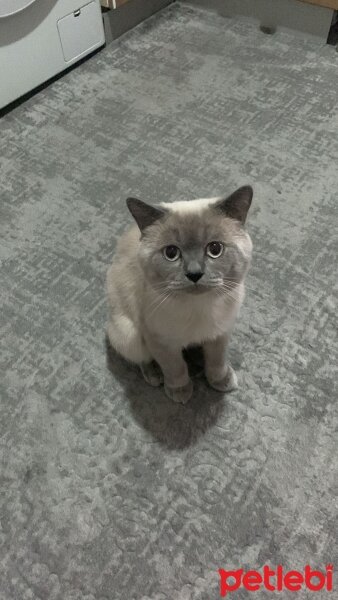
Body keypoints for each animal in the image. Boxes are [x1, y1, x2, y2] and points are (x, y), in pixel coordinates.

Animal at [107, 185, 252, 406]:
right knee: (143, 357)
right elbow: (175, 368)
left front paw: (221, 380)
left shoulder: (220, 332)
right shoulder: (161, 341)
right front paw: (180, 391)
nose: (194, 274)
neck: (200, 308)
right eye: (171, 253)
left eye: (215, 249)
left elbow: (216, 361)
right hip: (128, 334)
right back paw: (155, 376)